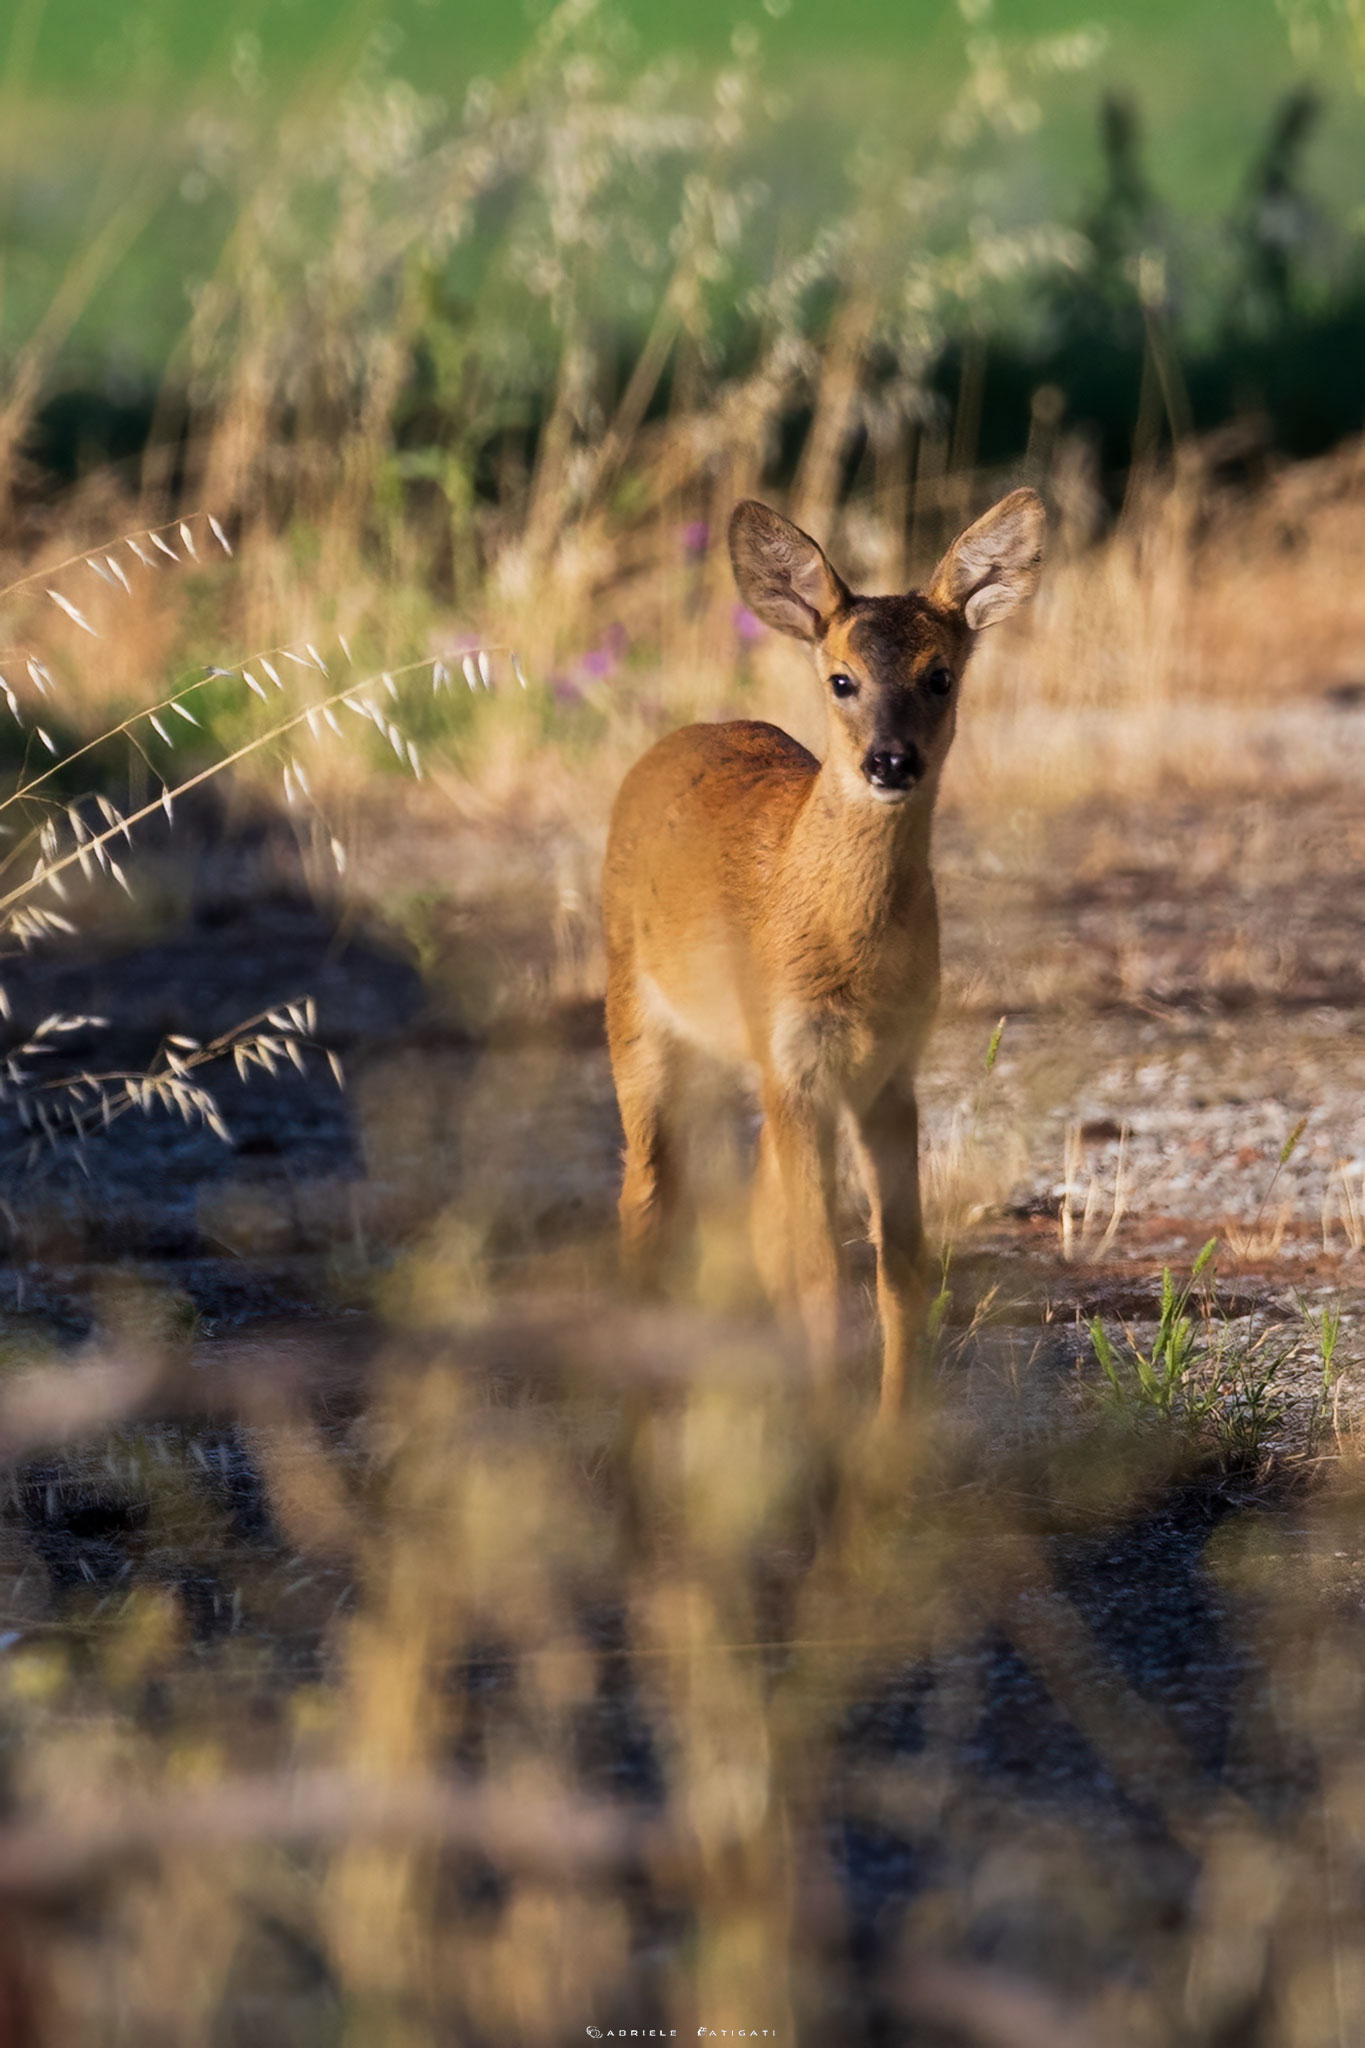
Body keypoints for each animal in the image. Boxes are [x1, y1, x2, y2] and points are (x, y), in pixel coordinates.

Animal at [602, 488, 1045, 1416]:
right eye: (841, 678)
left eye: (939, 676)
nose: (890, 761)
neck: (849, 956)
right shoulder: (795, 1062)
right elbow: (816, 1269)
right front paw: (826, 1429)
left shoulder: (889, 1071)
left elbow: (898, 1269)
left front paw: (890, 1430)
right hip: (633, 1012)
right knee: (647, 1195)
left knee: (753, 1211)